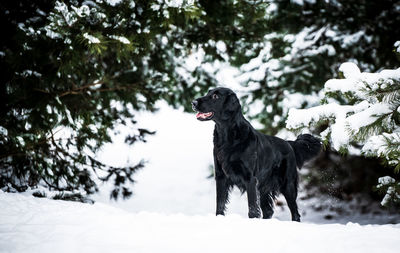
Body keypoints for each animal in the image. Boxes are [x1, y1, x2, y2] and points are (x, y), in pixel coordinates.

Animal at [192, 87, 320, 221]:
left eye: (215, 96)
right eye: (208, 92)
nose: (193, 103)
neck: (227, 138)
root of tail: (289, 143)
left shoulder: (251, 178)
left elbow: (252, 209)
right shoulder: (221, 176)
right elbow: (220, 204)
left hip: (288, 184)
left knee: (295, 213)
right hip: (264, 187)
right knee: (268, 211)